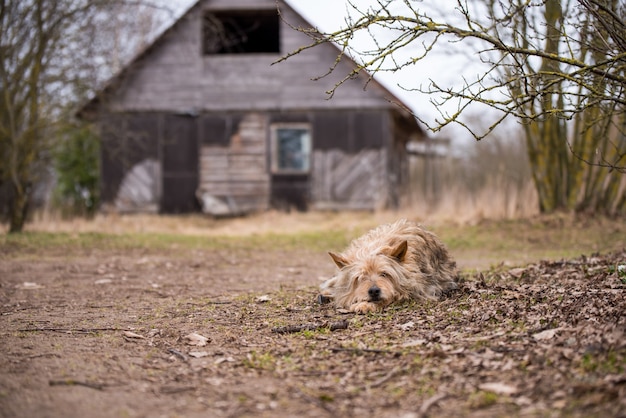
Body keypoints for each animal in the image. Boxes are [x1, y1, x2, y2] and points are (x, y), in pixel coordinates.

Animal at [320, 219, 456, 314]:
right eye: (360, 278)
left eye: (384, 274)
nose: (374, 291)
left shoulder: (419, 291)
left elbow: (393, 297)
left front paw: (365, 305)